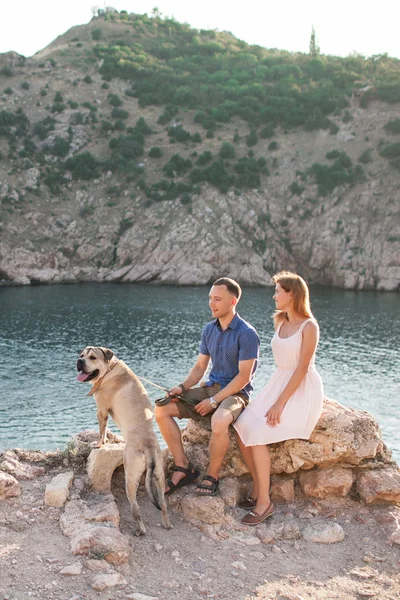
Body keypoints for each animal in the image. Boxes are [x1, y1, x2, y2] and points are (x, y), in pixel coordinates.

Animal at [76, 344, 170, 536]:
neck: (109, 369)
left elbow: (102, 431)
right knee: (163, 503)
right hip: (159, 475)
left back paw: (140, 530)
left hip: (131, 477)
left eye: (92, 357)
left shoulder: (102, 410)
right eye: (81, 355)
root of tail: (149, 448)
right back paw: (166, 524)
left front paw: (99, 444)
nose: (79, 361)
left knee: (135, 508)